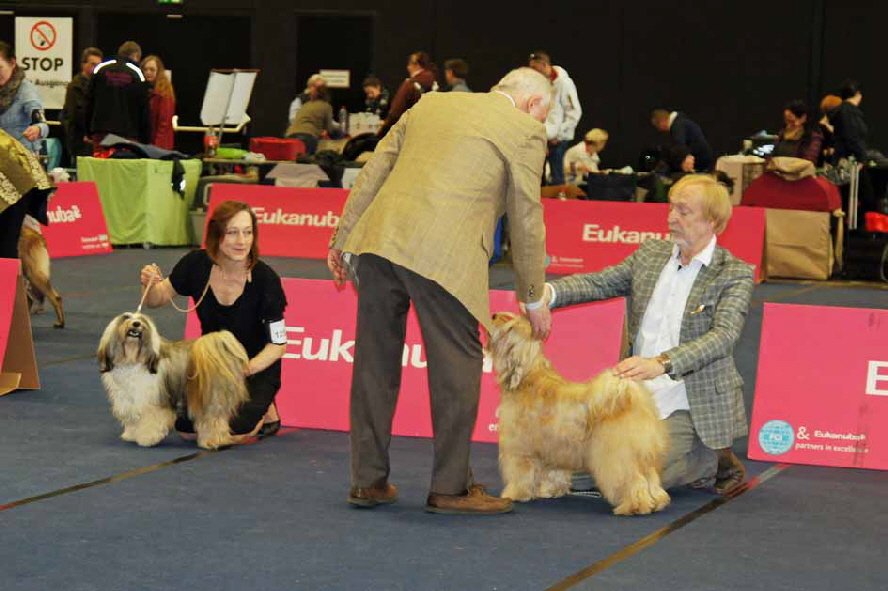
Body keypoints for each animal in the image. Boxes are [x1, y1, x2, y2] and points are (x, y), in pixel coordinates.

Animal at [97, 312, 250, 450]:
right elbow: (134, 418)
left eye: (142, 320)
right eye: (126, 318)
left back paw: (213, 441)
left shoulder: (153, 401)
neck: (133, 359)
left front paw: (147, 438)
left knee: (213, 420)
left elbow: (151, 419)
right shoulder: (129, 399)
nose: (136, 324)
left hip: (211, 397)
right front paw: (131, 435)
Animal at [490, 312, 668, 516]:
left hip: (617, 456)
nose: (493, 315)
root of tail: (627, 396)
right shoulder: (556, 448)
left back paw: (636, 505)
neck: (529, 377)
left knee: (633, 479)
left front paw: (515, 494)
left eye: (509, 326)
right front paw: (551, 491)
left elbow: (520, 475)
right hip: (643, 454)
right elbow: (555, 473)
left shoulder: (520, 449)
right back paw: (658, 501)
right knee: (651, 477)